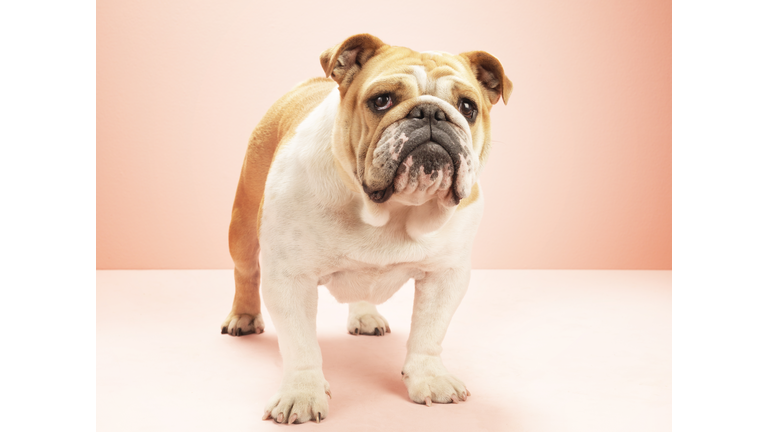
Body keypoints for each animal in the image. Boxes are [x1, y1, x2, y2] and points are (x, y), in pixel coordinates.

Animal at [220, 34, 510, 426]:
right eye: (381, 100)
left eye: (467, 107)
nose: (431, 113)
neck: (391, 210)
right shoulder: (289, 278)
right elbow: (300, 345)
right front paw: (302, 394)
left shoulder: (445, 275)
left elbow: (429, 333)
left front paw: (430, 378)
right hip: (243, 223)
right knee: (246, 271)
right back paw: (244, 317)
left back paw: (365, 315)